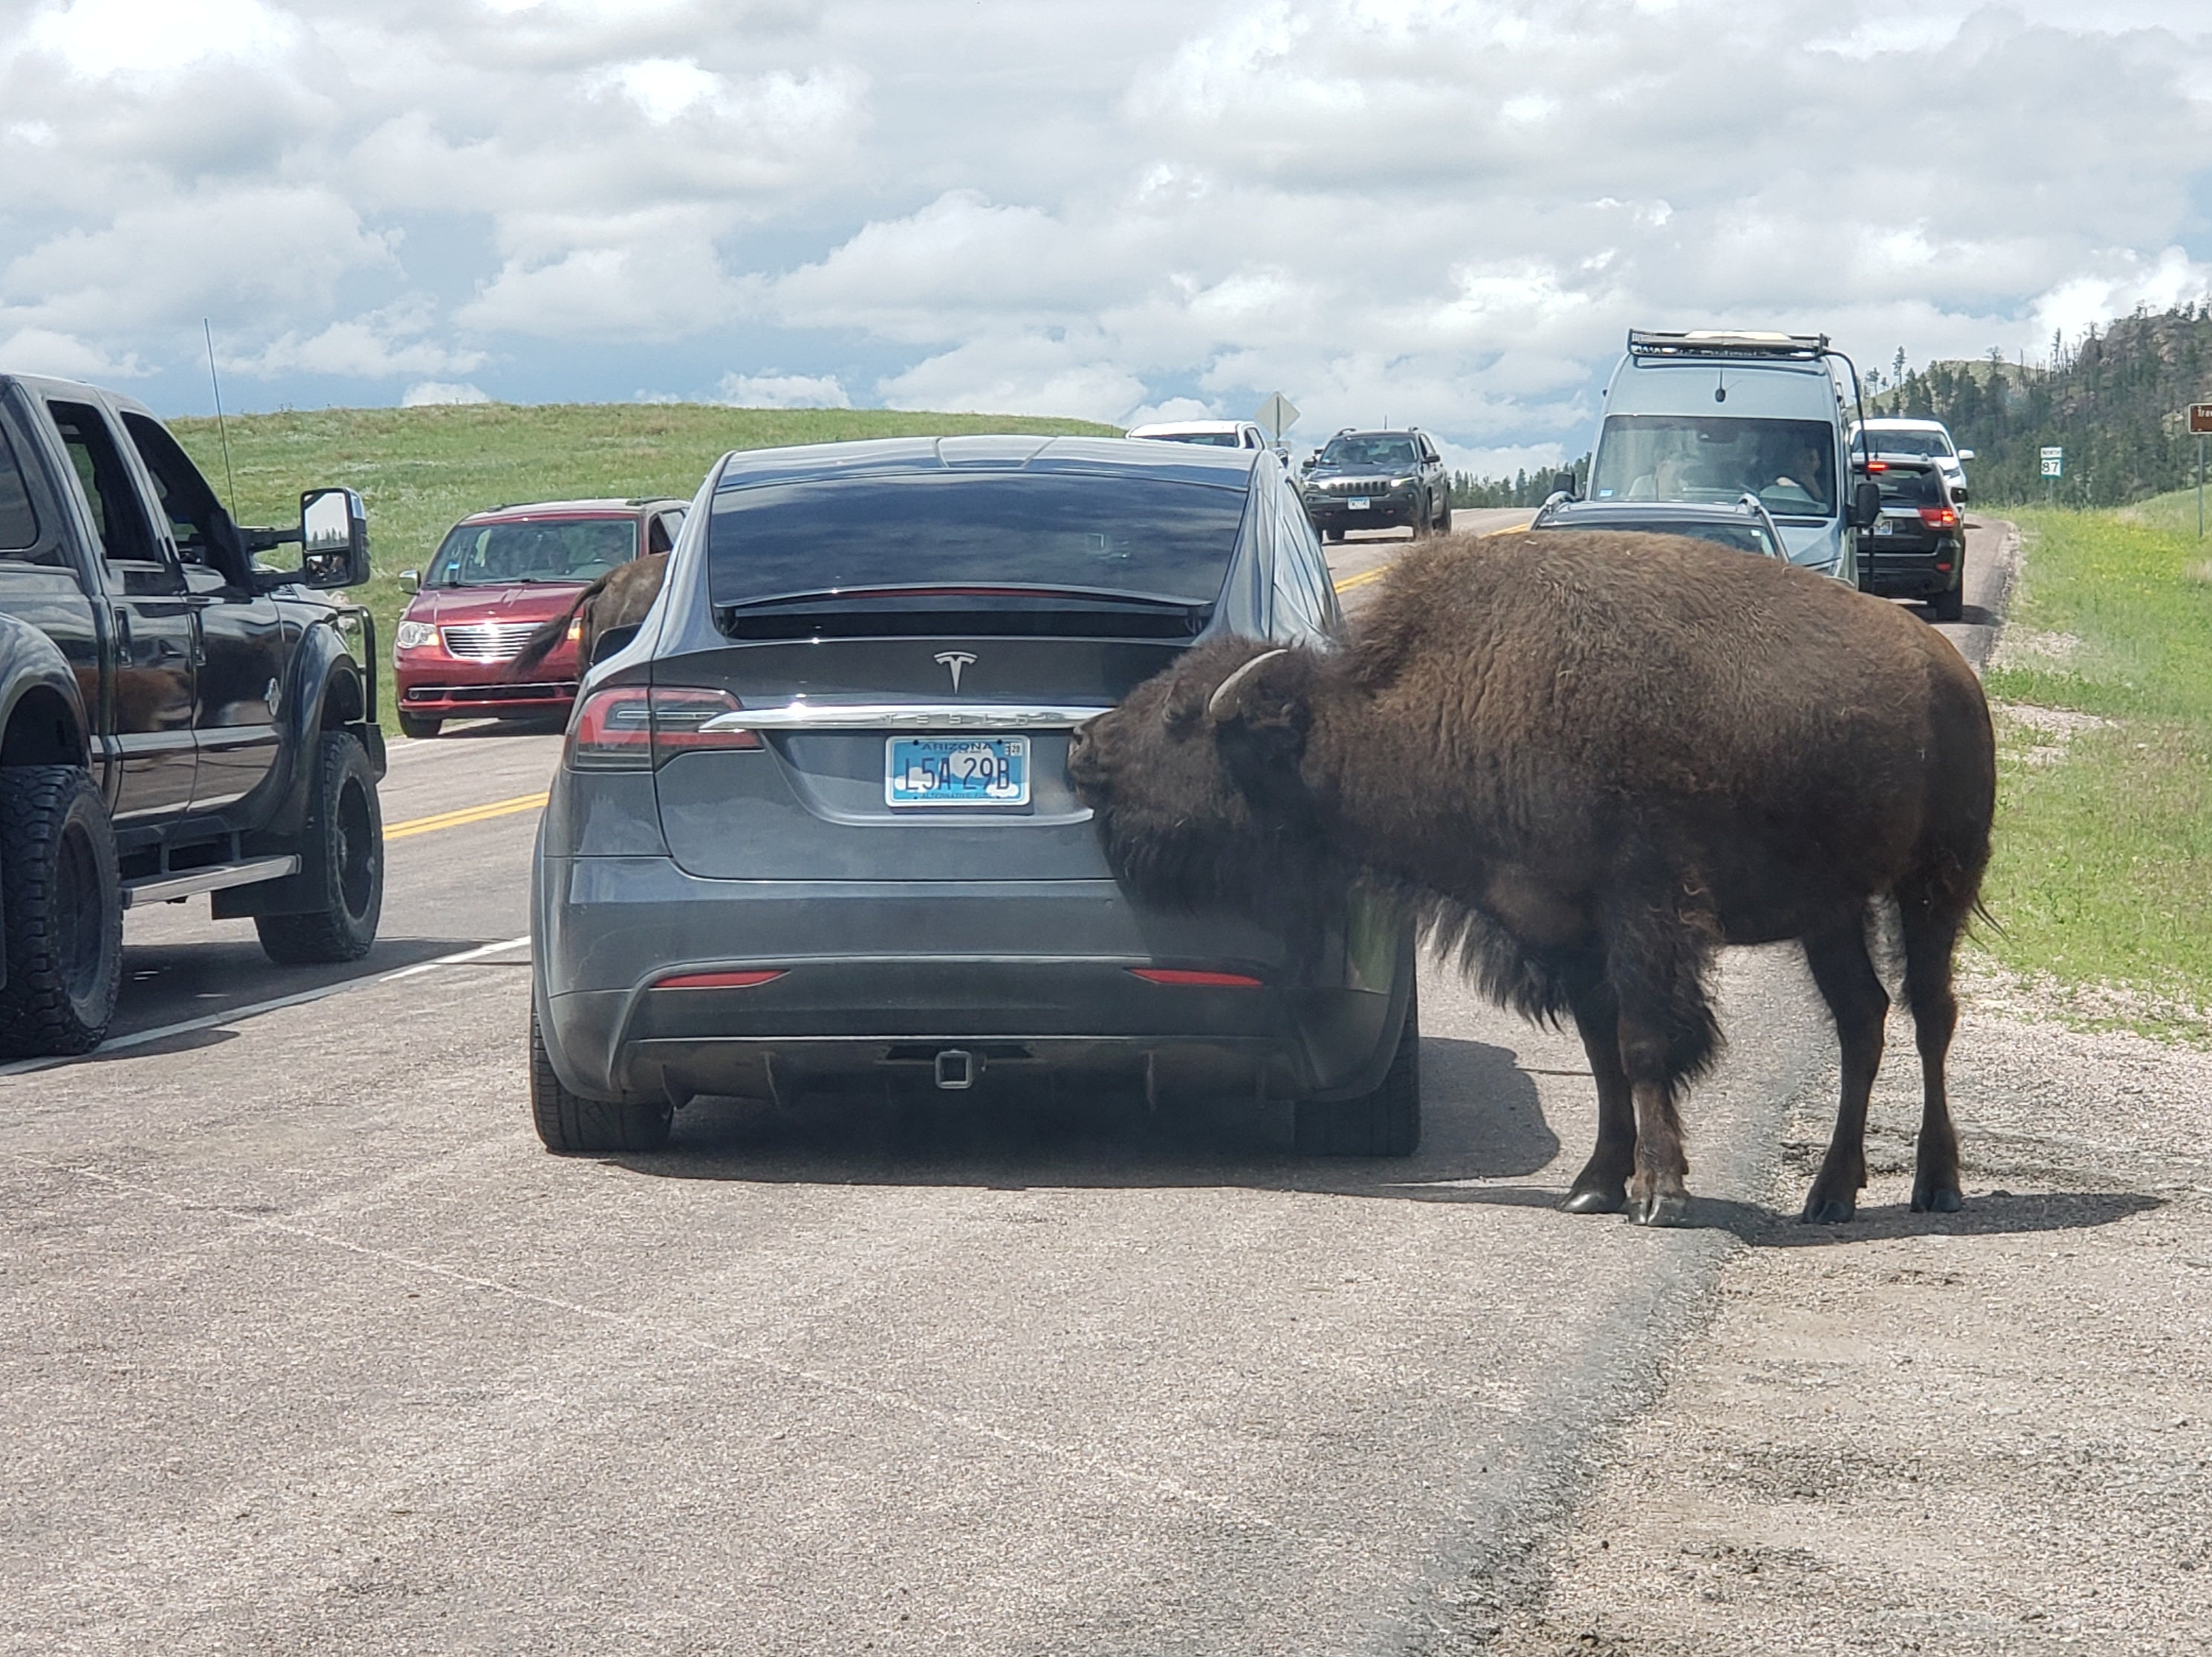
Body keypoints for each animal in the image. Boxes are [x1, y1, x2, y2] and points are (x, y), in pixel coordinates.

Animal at [1061, 533, 1999, 1230]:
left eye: (1180, 715)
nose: (1082, 743)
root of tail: (1948, 670)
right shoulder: (1566, 935)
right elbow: (1603, 1057)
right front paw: (1594, 1185)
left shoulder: (1642, 915)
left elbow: (1646, 1046)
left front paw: (1661, 1194)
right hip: (1829, 912)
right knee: (1861, 1019)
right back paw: (1829, 1194)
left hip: (1933, 882)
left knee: (1929, 1013)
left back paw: (1937, 1185)